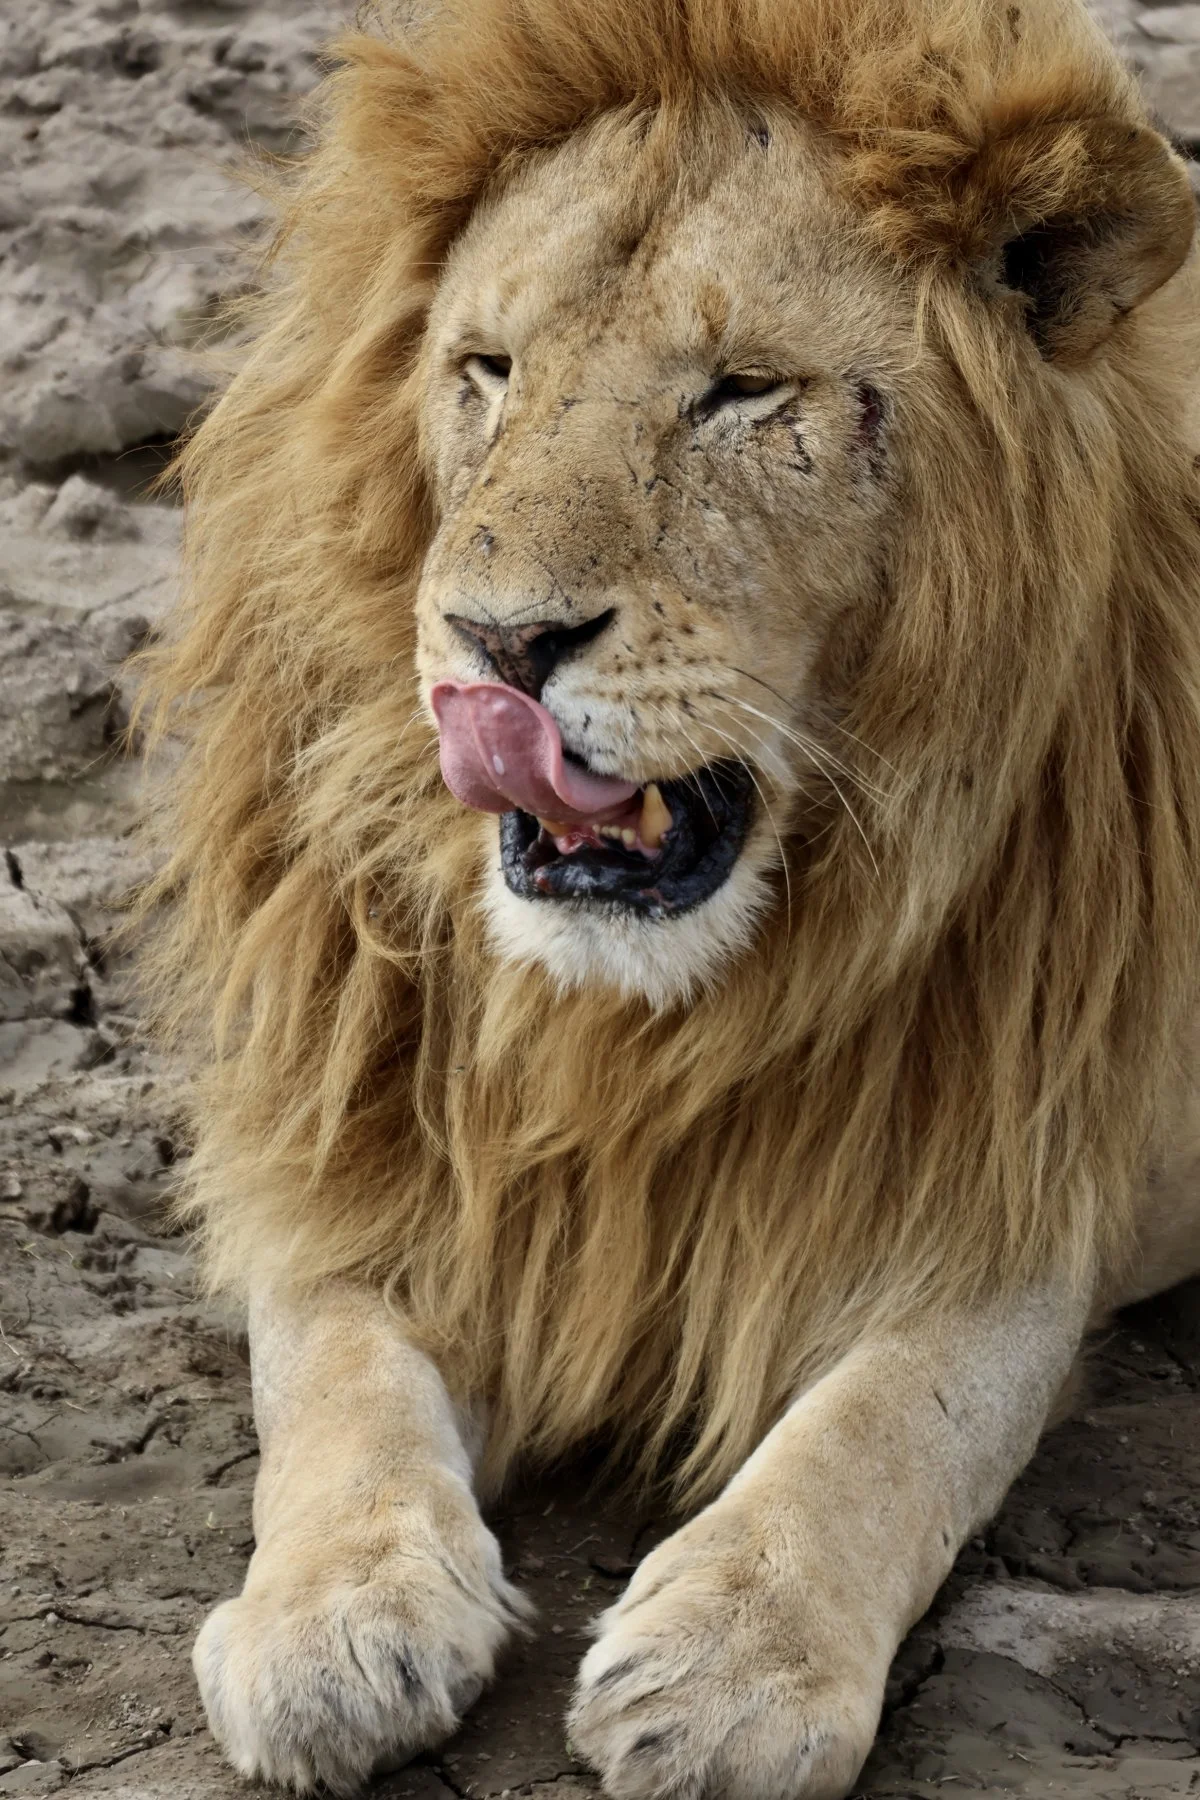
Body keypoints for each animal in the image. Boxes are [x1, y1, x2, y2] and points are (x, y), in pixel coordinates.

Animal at [137, 0, 1200, 1792]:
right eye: (488, 369)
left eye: (744, 392)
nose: (495, 646)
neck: (642, 1014)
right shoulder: (356, 1140)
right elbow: (334, 1374)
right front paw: (331, 1615)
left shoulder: (1024, 1184)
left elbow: (888, 1420)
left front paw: (733, 1661)